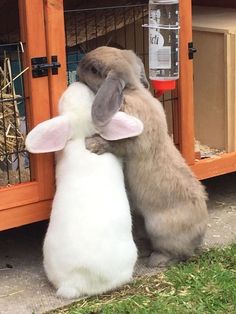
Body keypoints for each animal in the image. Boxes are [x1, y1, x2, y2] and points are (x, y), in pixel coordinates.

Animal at [77, 47, 206, 268]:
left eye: (93, 69)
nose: (76, 72)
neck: (132, 90)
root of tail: (199, 235)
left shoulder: (132, 141)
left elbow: (117, 145)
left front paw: (92, 144)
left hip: (158, 228)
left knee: (174, 251)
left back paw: (155, 259)